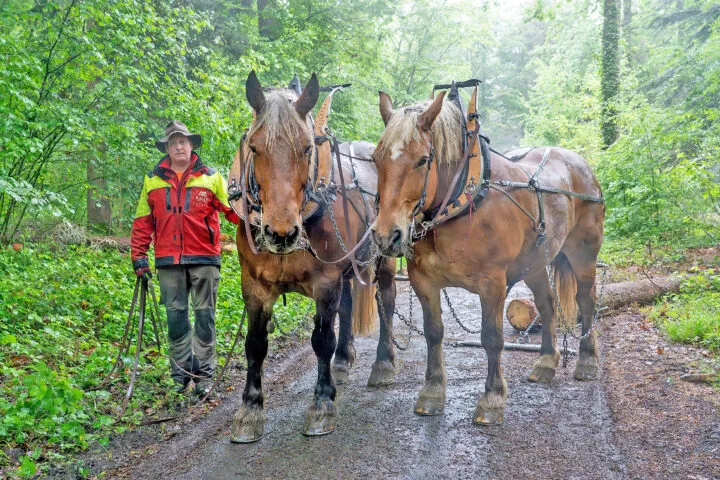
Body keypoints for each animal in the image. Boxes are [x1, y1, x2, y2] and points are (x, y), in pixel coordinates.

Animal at [228, 72, 397, 442]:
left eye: (307, 147)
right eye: (253, 147)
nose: (281, 233)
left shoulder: (325, 281)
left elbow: (321, 340)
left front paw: (321, 404)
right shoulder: (254, 284)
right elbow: (255, 344)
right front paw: (249, 411)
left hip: (385, 255)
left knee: (387, 301)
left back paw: (384, 363)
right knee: (348, 306)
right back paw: (343, 361)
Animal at [370, 84, 605, 425]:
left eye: (423, 160)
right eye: (375, 159)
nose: (386, 234)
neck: (460, 202)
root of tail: (581, 165)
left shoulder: (492, 283)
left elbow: (492, 338)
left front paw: (492, 398)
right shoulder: (423, 281)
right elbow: (433, 333)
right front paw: (432, 391)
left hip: (583, 255)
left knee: (586, 300)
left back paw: (587, 361)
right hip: (535, 262)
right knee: (546, 305)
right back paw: (546, 362)